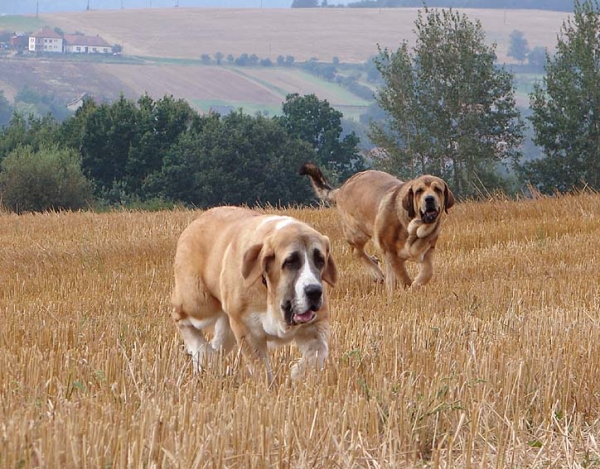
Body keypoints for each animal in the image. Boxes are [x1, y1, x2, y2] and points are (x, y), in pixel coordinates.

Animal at [171, 207, 336, 382]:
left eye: (320, 260)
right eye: (290, 261)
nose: (314, 291)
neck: (272, 295)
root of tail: (197, 221)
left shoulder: (317, 324)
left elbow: (318, 354)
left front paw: (295, 375)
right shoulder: (246, 329)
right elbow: (260, 367)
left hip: (226, 324)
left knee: (218, 345)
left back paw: (208, 362)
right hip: (199, 302)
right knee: (180, 316)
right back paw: (201, 351)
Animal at [300, 163, 454, 290]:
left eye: (438, 189)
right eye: (419, 191)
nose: (429, 199)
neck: (413, 227)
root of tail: (343, 187)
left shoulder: (426, 252)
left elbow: (427, 272)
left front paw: (415, 285)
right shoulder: (391, 251)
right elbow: (404, 277)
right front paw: (408, 289)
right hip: (357, 233)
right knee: (356, 251)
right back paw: (376, 273)